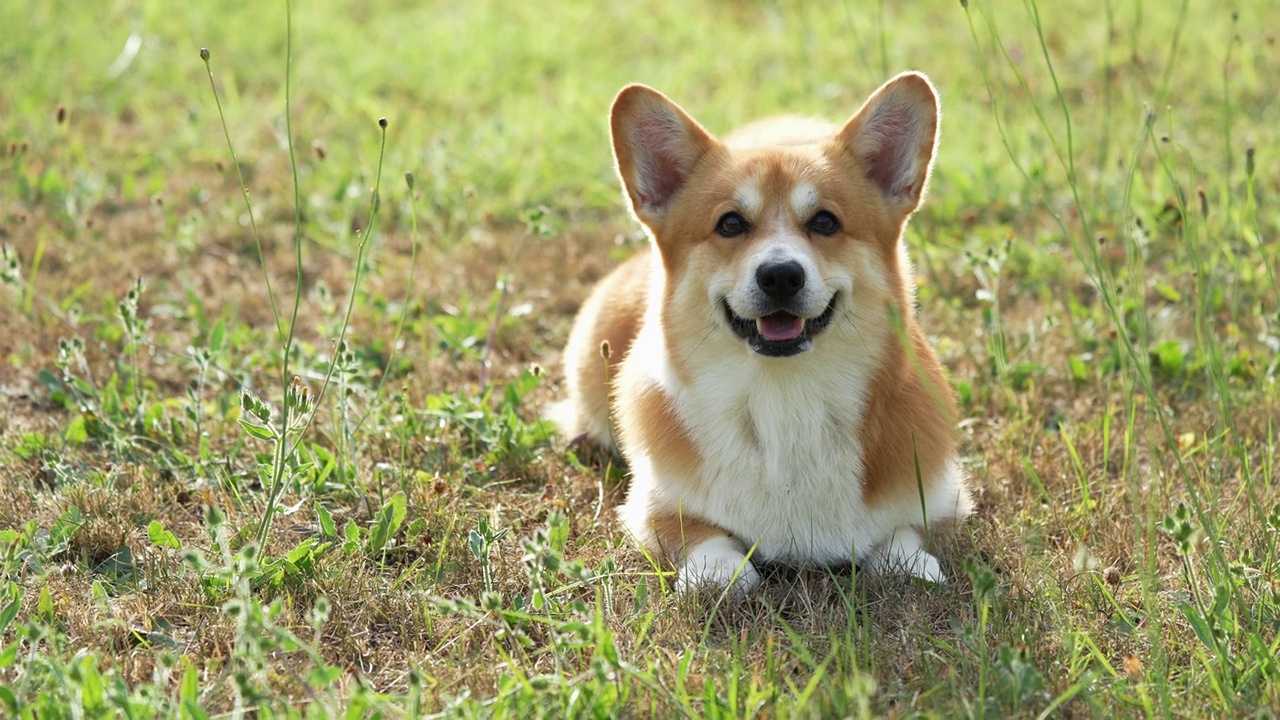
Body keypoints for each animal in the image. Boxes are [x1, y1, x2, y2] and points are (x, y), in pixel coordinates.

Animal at [550, 71, 967, 594]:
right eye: (730, 223)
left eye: (825, 221)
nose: (781, 276)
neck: (785, 395)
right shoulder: (652, 504)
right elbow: (701, 532)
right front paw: (718, 572)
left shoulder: (945, 494)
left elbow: (902, 534)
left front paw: (910, 564)